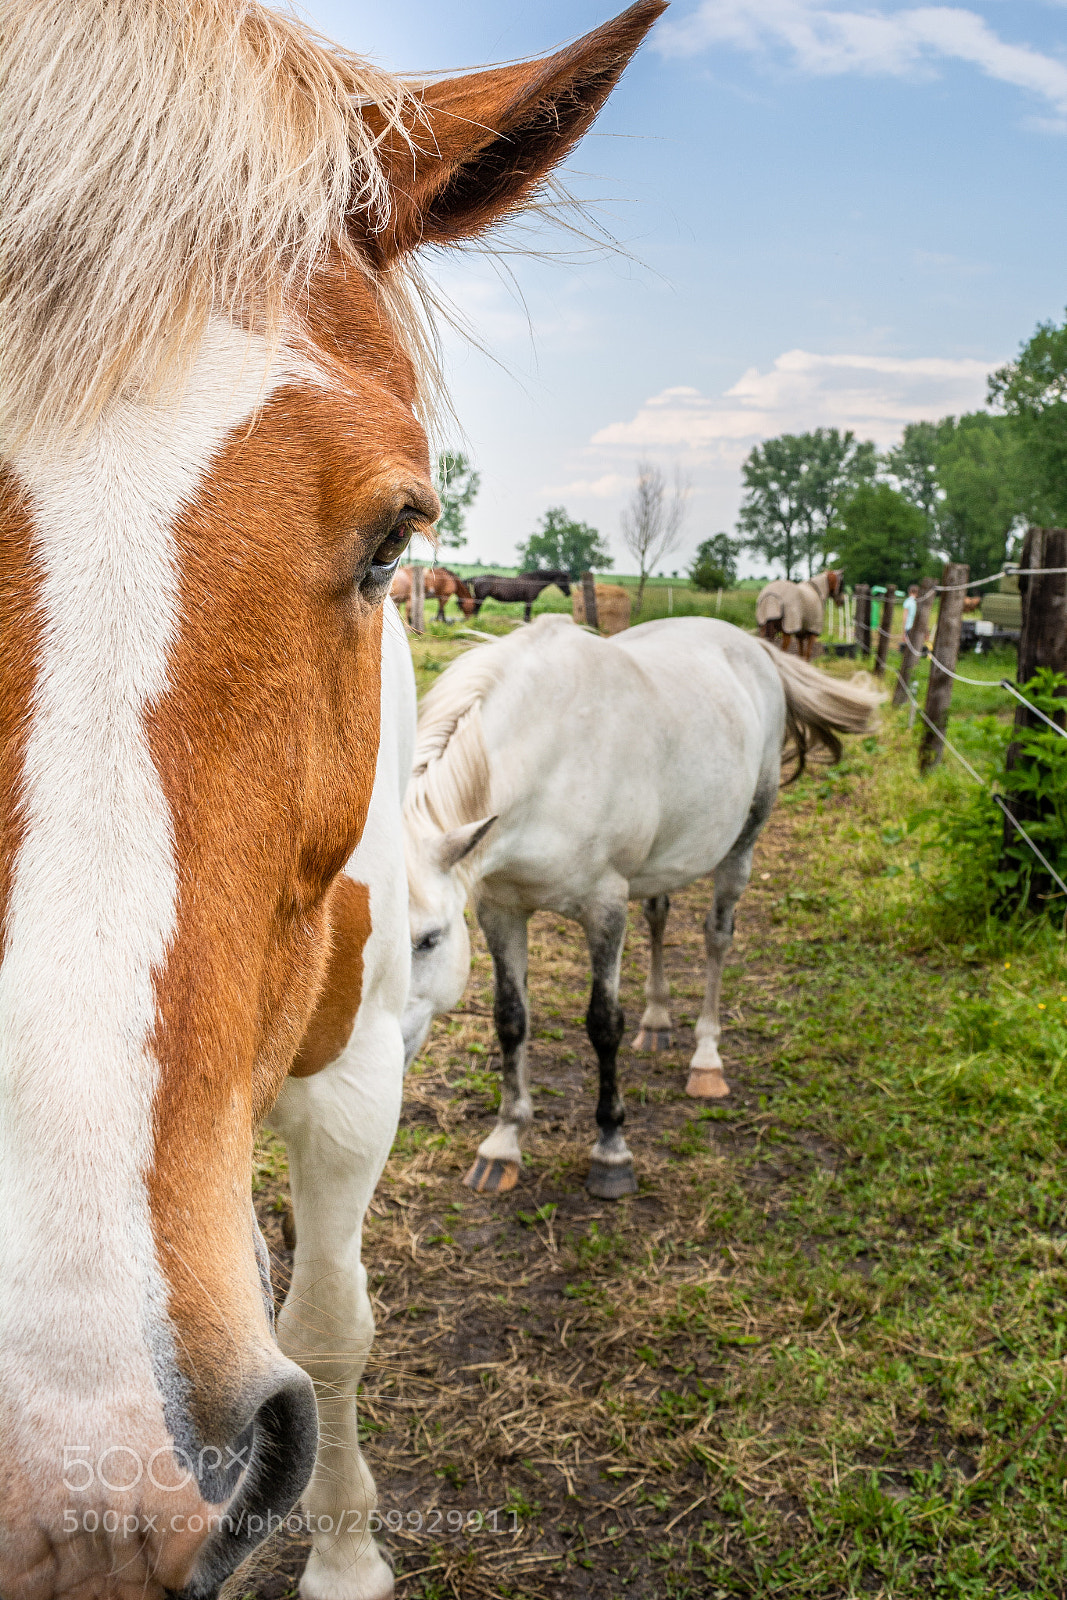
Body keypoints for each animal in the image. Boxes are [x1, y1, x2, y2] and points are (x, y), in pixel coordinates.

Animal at [401, 615, 877, 1200]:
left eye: (429, 940)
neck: (550, 756)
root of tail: (754, 645)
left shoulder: (604, 907)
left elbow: (603, 1023)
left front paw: (611, 1150)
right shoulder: (501, 907)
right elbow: (510, 1019)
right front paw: (503, 1142)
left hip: (742, 841)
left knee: (717, 935)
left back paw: (706, 1060)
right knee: (659, 915)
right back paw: (657, 1021)